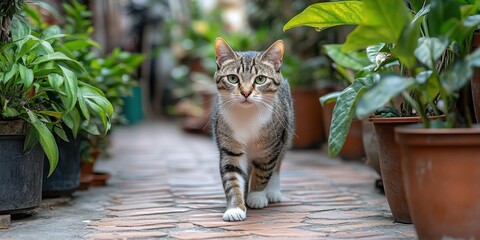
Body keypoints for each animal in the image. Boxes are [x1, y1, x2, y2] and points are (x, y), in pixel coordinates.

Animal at [212, 38, 294, 221]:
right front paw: (236, 207)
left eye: (260, 79)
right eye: (233, 78)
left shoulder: (270, 148)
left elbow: (263, 173)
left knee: (277, 164)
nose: (245, 92)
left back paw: (272, 191)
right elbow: (233, 177)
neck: (247, 115)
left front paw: (256, 196)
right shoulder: (230, 148)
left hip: (286, 133)